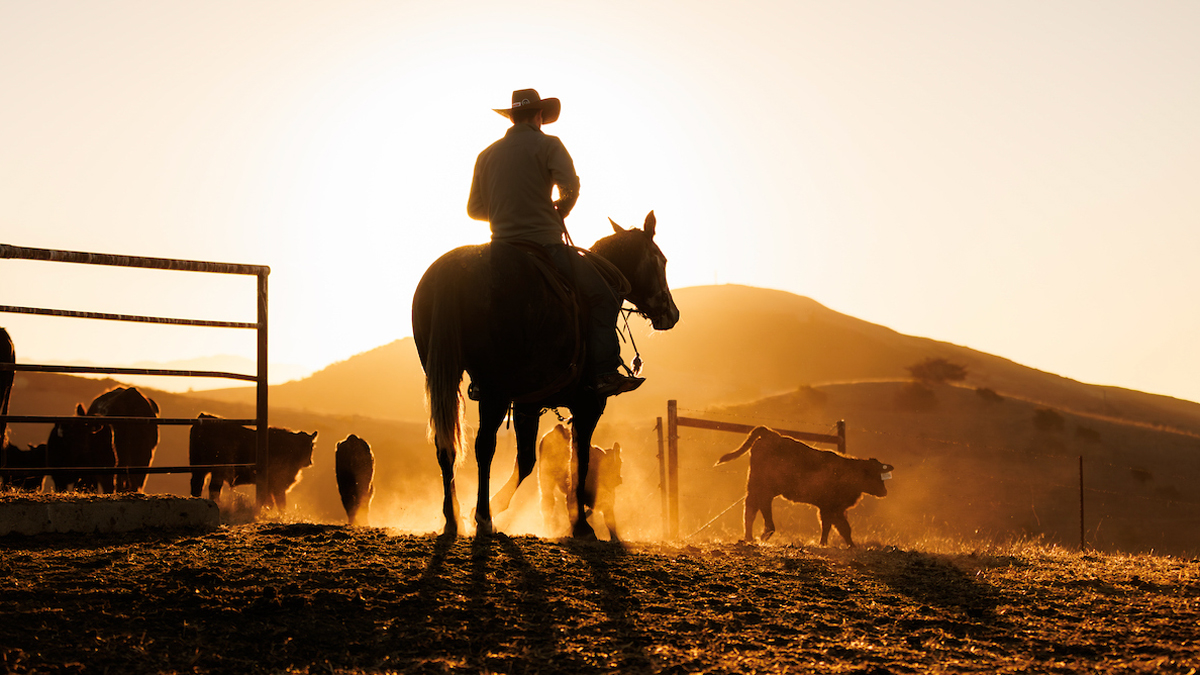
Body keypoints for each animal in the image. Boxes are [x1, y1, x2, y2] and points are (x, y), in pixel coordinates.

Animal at [188, 413, 316, 506]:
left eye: (311, 445)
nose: (309, 462)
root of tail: (204, 416)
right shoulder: (277, 485)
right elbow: (280, 504)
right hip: (217, 470)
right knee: (213, 488)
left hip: (199, 468)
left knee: (198, 486)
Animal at [412, 210, 681, 535]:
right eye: (661, 260)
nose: (672, 313)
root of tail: (454, 271)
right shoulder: (588, 404)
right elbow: (579, 460)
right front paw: (581, 525)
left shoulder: (528, 404)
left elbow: (527, 460)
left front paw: (495, 504)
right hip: (495, 390)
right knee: (484, 446)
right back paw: (483, 518)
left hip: (445, 377)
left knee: (446, 443)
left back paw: (454, 517)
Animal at [710, 425, 892, 547]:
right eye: (875, 475)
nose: (884, 491)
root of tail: (772, 435)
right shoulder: (831, 507)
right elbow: (841, 527)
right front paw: (845, 545)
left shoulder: (830, 508)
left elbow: (833, 527)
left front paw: (830, 544)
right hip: (764, 486)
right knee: (760, 505)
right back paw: (764, 533)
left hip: (754, 486)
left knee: (750, 508)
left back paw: (749, 537)